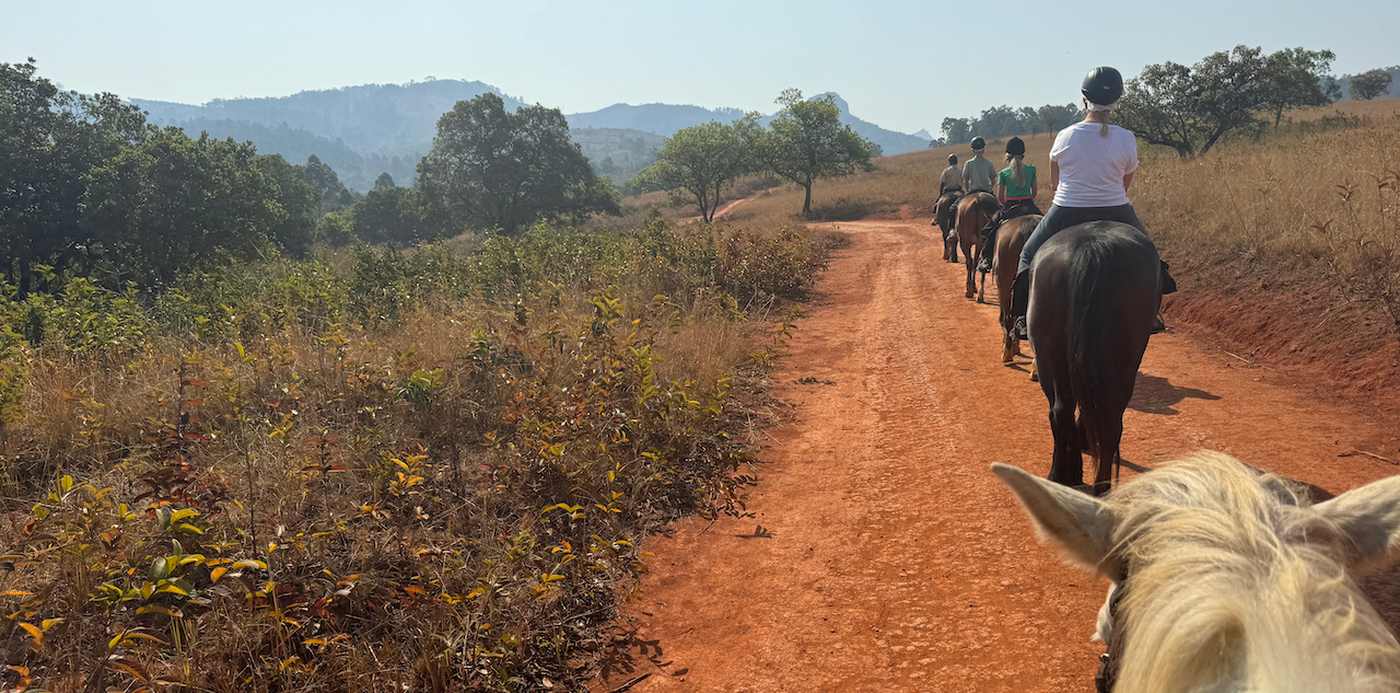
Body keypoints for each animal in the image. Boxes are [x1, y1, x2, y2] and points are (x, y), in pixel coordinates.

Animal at [992, 214, 1040, 364]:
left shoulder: (1004, 285)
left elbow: (1007, 317)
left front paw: (1010, 347)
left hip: (1004, 281)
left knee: (1007, 319)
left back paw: (1007, 353)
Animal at [1027, 221, 1159, 492]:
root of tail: (1092, 249)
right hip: (1123, 360)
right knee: (1108, 420)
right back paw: (1099, 487)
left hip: (1050, 355)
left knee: (1061, 411)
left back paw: (1062, 475)